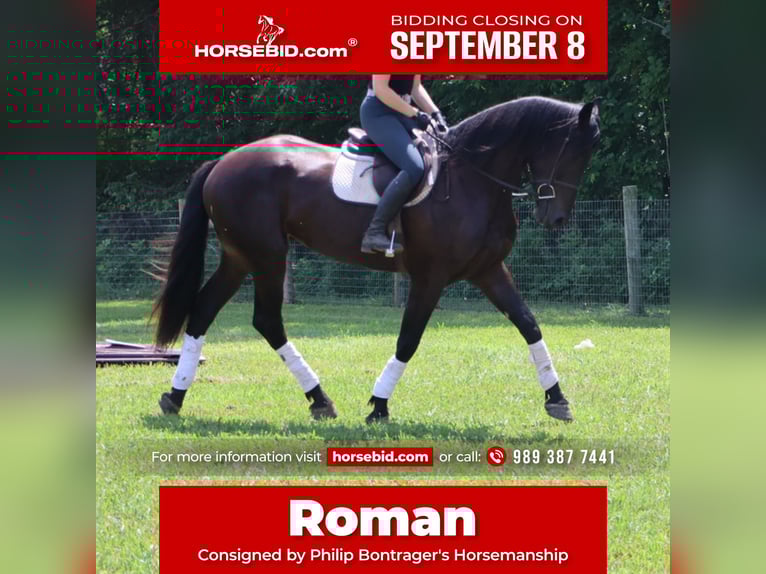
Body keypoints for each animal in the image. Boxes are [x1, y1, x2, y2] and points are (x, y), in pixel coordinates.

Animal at [152, 95, 601, 424]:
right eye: (571, 151)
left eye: (587, 155)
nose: (555, 218)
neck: (472, 178)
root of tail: (223, 162)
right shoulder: (430, 278)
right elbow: (408, 339)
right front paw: (379, 406)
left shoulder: (488, 271)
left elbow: (529, 324)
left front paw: (557, 399)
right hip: (267, 255)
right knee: (266, 320)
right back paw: (319, 398)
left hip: (240, 257)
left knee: (204, 310)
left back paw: (176, 396)